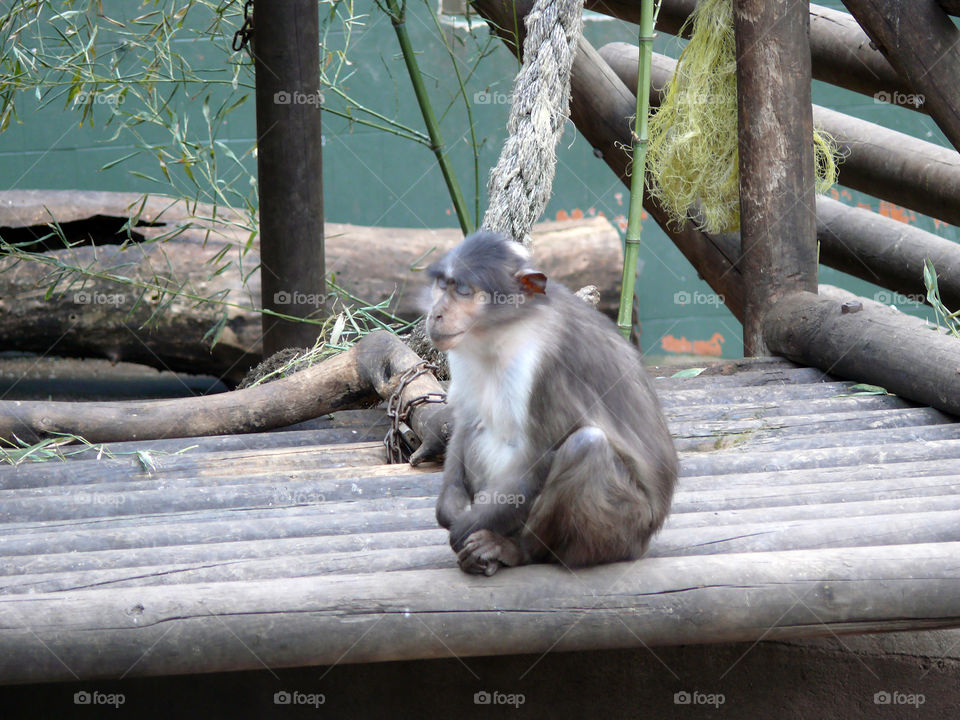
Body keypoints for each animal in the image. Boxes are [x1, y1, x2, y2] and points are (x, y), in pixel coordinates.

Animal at [424, 233, 680, 576]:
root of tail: (647, 537)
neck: (503, 331)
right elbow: (465, 423)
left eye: (463, 290)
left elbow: (540, 455)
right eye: (443, 284)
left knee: (587, 446)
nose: (437, 313)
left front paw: (463, 529)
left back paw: (517, 550)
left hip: (626, 528)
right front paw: (450, 510)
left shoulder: (549, 364)